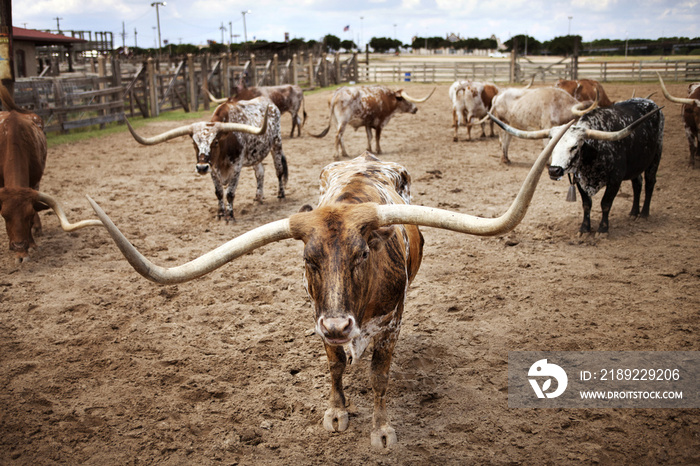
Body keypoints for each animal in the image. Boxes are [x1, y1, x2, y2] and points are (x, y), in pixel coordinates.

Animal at [0, 84, 103, 262]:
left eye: (28, 215)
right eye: (4, 215)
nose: (19, 246)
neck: (12, 137)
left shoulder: (34, 181)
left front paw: (31, 245)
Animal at [86, 122, 576, 450]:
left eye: (363, 253)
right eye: (309, 259)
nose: (340, 327)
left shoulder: (389, 324)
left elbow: (380, 376)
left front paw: (381, 431)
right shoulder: (319, 320)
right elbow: (336, 368)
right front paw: (337, 413)